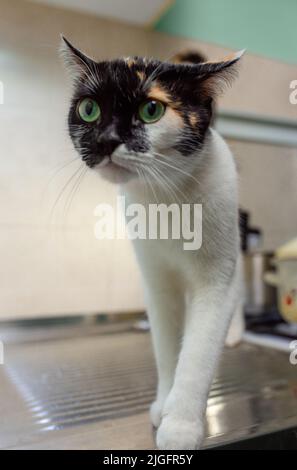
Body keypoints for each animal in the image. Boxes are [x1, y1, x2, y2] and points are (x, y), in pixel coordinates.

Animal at [61, 36, 244, 448]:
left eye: (151, 110)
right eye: (89, 109)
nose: (107, 140)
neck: (166, 199)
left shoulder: (217, 280)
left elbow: (198, 352)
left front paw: (181, 426)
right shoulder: (156, 282)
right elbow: (165, 346)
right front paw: (164, 404)